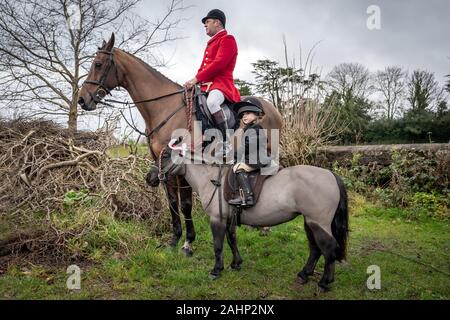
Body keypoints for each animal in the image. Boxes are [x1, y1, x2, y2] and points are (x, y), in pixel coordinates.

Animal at [77, 33, 282, 255]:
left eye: (98, 64)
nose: (82, 99)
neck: (165, 108)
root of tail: (271, 107)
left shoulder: (183, 165)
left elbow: (185, 204)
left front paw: (188, 242)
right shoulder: (162, 165)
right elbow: (172, 202)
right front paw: (174, 239)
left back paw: (264, 226)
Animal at [160, 139, 350, 292]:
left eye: (165, 157)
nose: (153, 178)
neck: (212, 180)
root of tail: (331, 175)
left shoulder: (217, 219)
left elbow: (218, 245)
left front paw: (216, 270)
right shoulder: (228, 219)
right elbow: (232, 240)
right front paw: (236, 263)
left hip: (318, 223)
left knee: (328, 248)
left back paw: (324, 282)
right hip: (309, 222)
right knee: (315, 248)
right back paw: (304, 274)